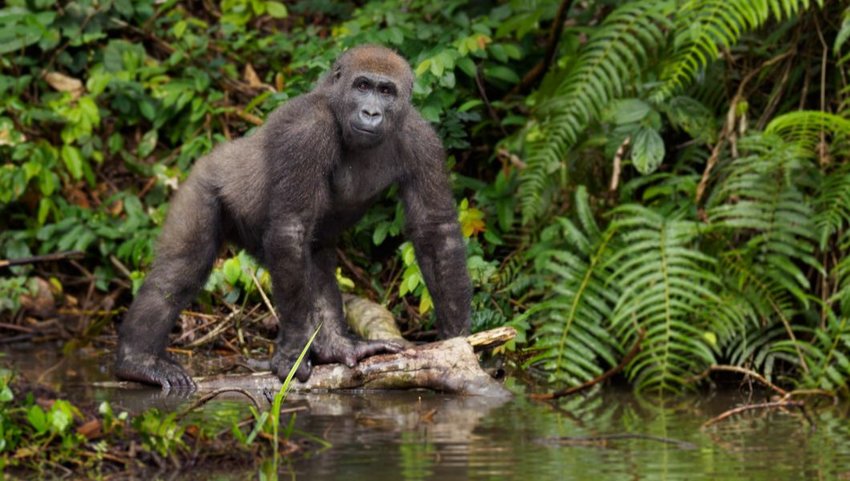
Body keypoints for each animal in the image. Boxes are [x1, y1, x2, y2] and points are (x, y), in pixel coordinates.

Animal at [114, 44, 470, 390]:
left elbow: (435, 231)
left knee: (314, 261)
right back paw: (138, 361)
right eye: (362, 86)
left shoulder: (422, 139)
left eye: (386, 91)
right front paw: (294, 349)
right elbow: (291, 228)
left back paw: (335, 346)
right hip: (202, 182)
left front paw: (458, 335)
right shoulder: (307, 130)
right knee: (181, 269)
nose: (370, 112)